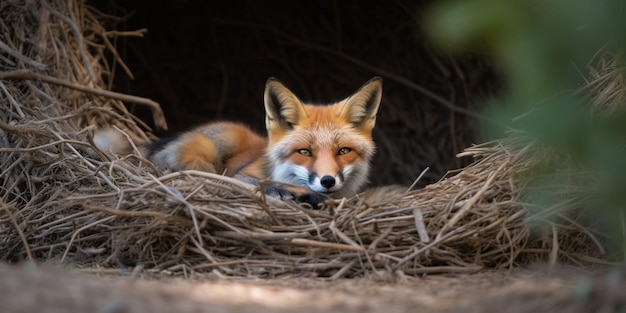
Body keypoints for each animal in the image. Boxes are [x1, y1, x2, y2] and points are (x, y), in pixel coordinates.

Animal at [95, 77, 382, 206]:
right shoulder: (242, 174)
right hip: (219, 142)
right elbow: (251, 182)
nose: (327, 181)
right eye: (304, 152)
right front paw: (282, 191)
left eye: (343, 151)